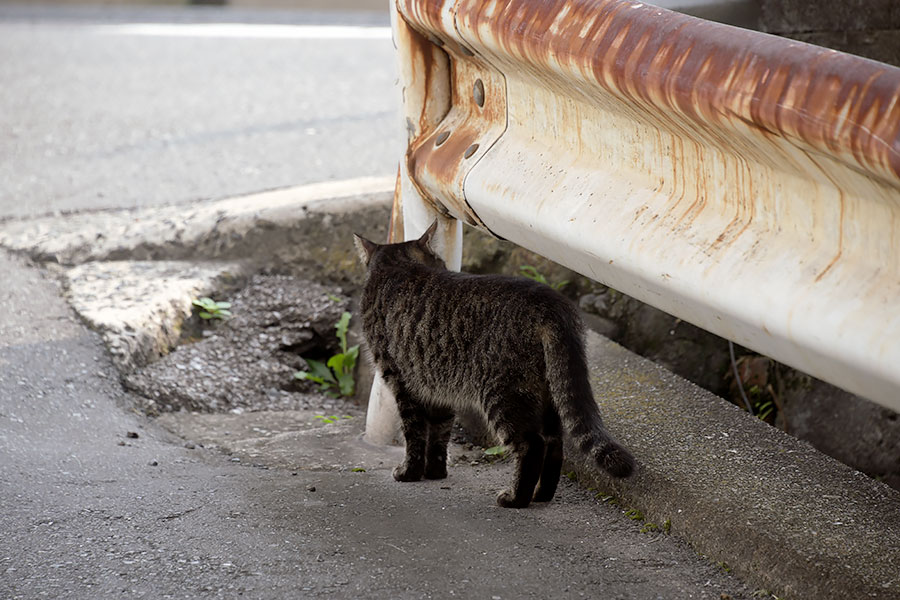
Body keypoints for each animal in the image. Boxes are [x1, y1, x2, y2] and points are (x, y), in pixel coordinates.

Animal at [356, 220, 636, 506]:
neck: (397, 266)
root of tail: (551, 302)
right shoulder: (436, 391)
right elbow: (439, 434)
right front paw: (435, 472)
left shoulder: (402, 384)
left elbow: (414, 435)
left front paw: (408, 473)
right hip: (548, 393)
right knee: (554, 442)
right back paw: (542, 495)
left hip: (503, 395)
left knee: (532, 445)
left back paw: (516, 498)